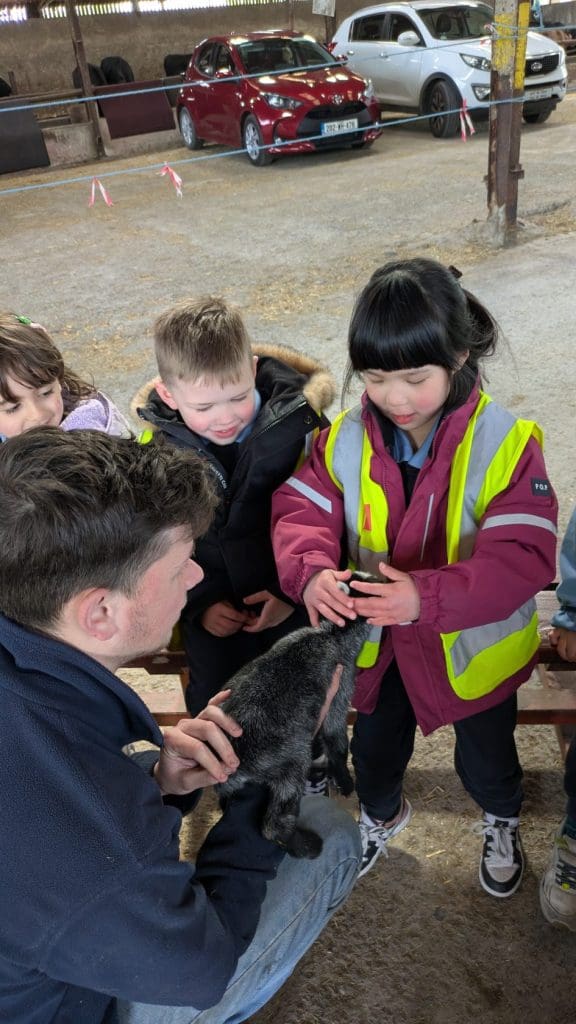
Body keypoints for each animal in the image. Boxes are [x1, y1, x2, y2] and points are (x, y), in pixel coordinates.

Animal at [218, 574, 378, 859]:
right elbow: (336, 739)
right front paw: (344, 780)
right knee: (275, 822)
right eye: (365, 588)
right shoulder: (340, 686)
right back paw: (305, 845)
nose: (383, 580)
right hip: (288, 758)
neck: (331, 634)